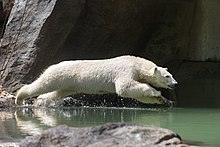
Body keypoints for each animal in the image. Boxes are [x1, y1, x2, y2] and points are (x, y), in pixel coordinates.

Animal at [15, 55, 178, 106]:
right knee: (43, 84)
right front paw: (156, 92)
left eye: (171, 75)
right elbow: (124, 87)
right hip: (59, 75)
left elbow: (136, 94)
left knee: (58, 93)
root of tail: (53, 65)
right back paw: (20, 98)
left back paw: (41, 101)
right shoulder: (126, 70)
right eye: (167, 76)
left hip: (71, 84)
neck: (137, 63)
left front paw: (163, 100)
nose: (176, 84)